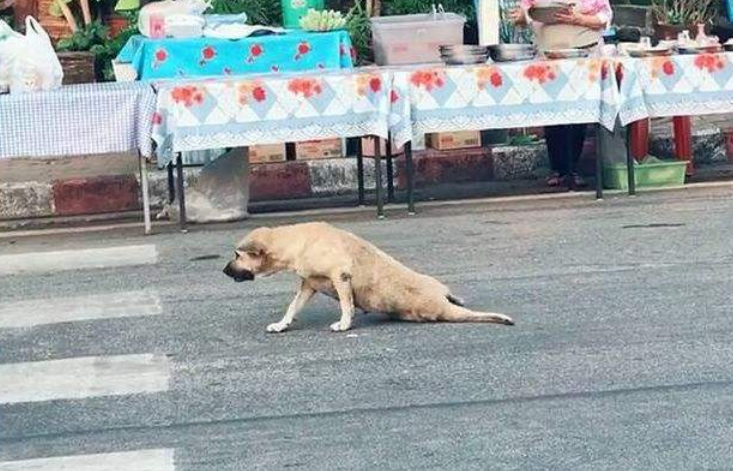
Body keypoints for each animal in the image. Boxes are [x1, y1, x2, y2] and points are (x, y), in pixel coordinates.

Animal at [223, 223, 516, 334]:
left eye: (237, 255)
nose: (224, 271)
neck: (295, 241)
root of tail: (442, 305)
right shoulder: (308, 284)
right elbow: (293, 307)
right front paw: (282, 324)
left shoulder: (340, 276)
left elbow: (346, 304)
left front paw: (344, 323)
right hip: (435, 285)